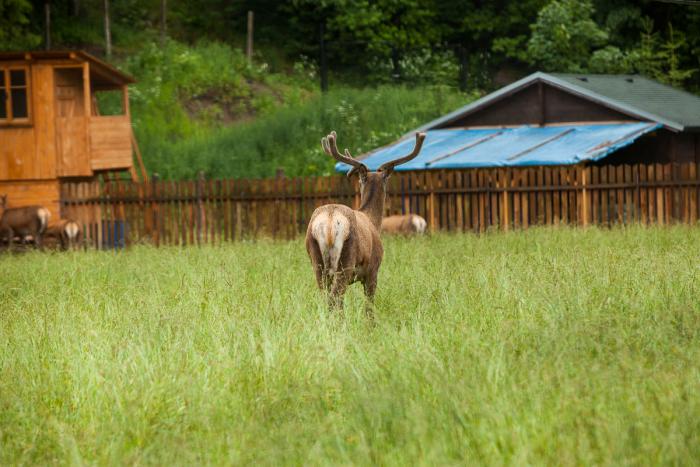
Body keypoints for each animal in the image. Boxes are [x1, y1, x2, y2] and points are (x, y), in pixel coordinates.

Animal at [306, 130, 426, 310]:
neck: (373, 221)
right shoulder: (373, 269)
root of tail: (330, 219)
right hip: (346, 259)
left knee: (325, 298)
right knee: (335, 299)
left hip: (317, 260)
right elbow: (369, 307)